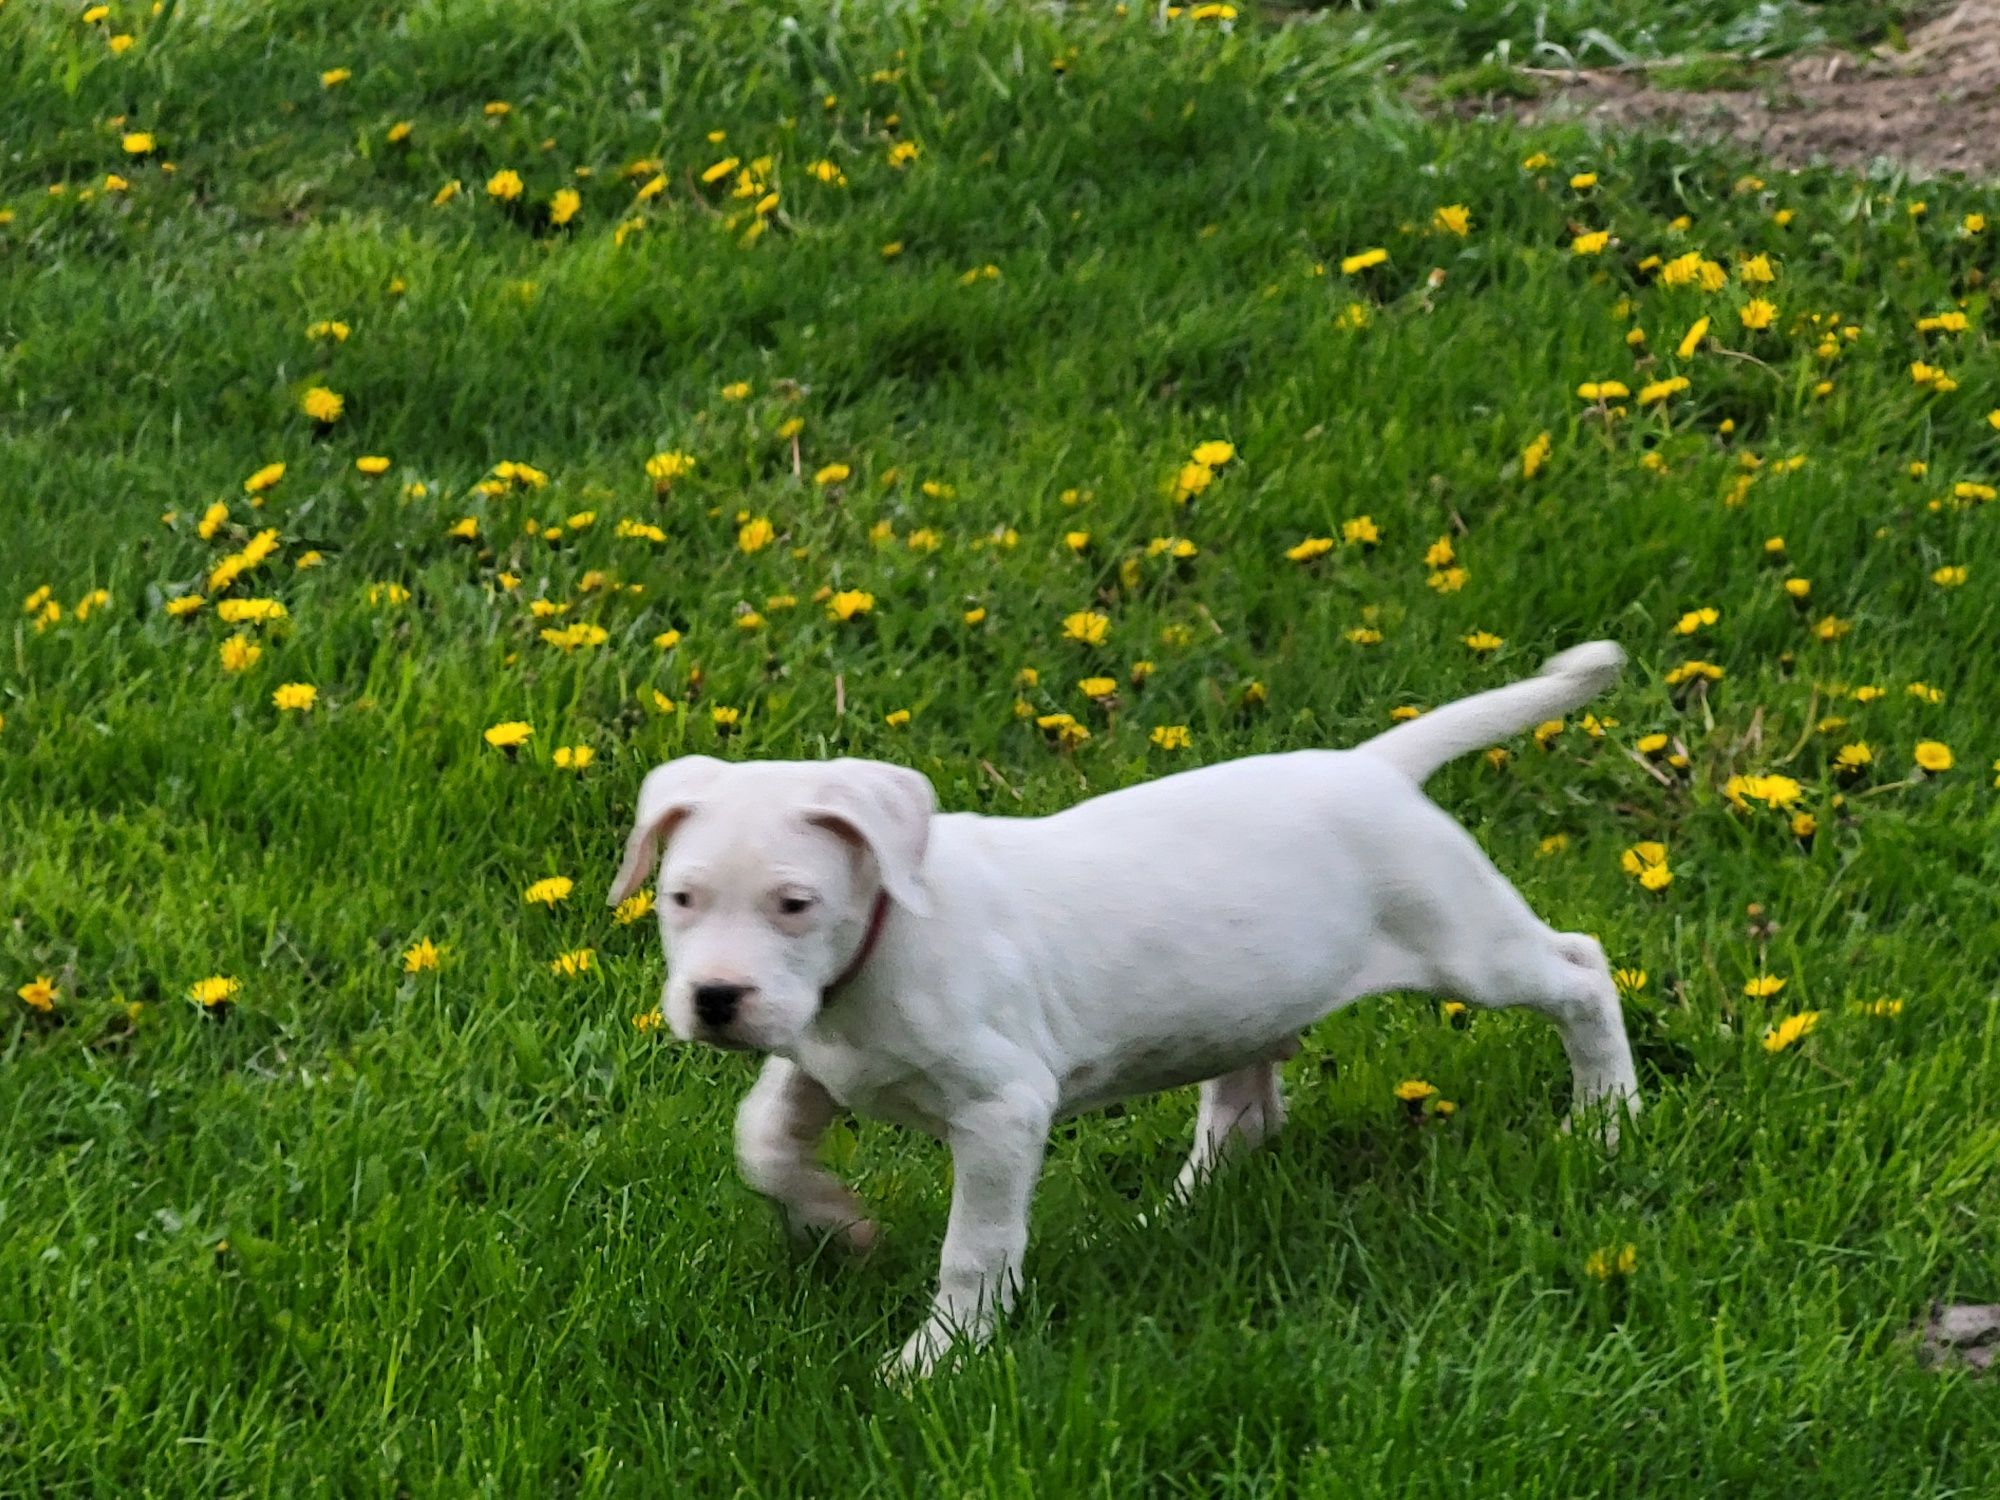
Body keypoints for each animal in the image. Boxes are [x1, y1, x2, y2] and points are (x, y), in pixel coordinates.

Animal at [608, 640, 1640, 1384]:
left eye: (795, 904)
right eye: (680, 899)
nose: (716, 1000)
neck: (883, 939)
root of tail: (1371, 768)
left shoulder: (1002, 1111)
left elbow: (975, 1248)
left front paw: (941, 1357)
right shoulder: (818, 1061)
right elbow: (764, 1143)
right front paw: (839, 1227)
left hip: (1464, 941)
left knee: (1581, 973)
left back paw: (1607, 1118)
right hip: (1249, 997)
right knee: (1243, 1108)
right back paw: (1176, 1212)